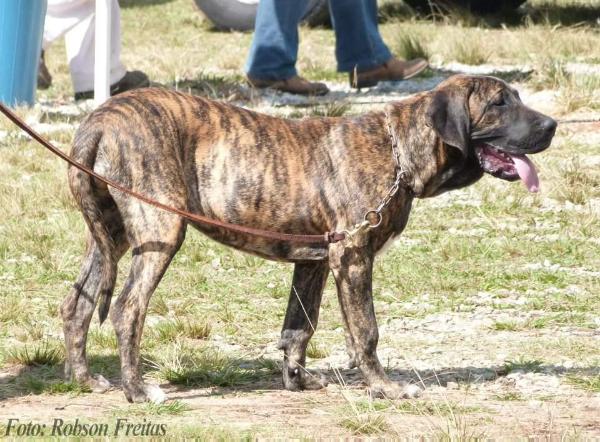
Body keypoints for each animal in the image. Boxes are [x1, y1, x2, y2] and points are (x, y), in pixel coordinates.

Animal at [63, 74, 556, 402]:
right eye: (499, 104)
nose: (551, 126)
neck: (396, 149)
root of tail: (99, 119)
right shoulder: (352, 258)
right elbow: (366, 331)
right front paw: (384, 387)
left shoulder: (313, 261)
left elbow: (299, 327)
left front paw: (298, 380)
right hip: (160, 231)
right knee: (128, 308)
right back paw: (136, 391)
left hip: (112, 234)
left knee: (78, 303)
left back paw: (84, 379)